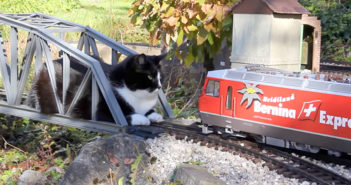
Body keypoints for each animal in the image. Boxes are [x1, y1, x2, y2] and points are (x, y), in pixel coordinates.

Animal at [26, 53, 166, 125]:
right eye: (149, 76)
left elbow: (149, 111)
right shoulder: (98, 111)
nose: (159, 86)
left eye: (160, 76)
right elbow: (126, 117)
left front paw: (155, 115)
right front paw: (142, 119)